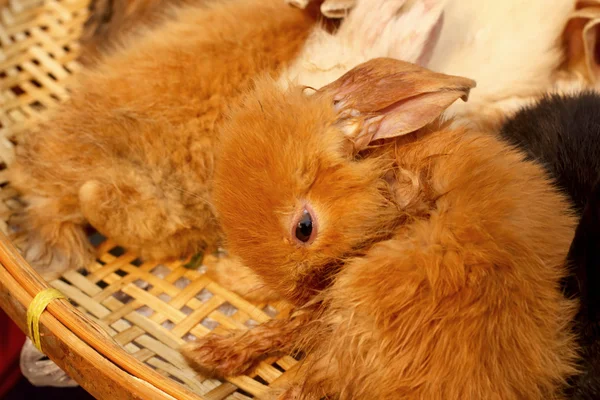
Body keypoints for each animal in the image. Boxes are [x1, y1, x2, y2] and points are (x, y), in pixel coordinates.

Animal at [183, 57, 580, 398]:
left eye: (305, 228)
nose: (298, 293)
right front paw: (225, 271)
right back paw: (205, 355)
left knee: (309, 372)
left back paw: (212, 356)